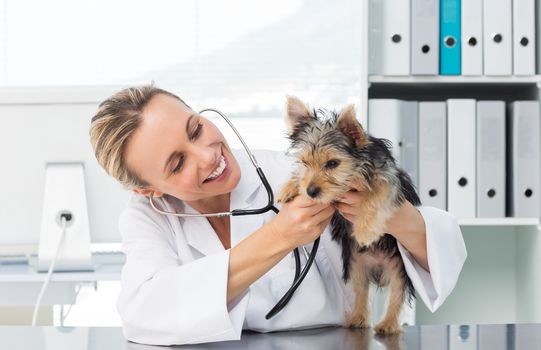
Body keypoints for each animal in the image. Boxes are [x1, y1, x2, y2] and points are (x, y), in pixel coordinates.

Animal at [276, 95, 420, 334]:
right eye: (304, 162)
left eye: (333, 163)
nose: (311, 191)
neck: (358, 168)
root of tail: (378, 269)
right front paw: (288, 187)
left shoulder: (388, 180)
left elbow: (375, 196)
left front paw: (365, 230)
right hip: (356, 266)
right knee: (361, 291)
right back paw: (357, 319)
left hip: (399, 267)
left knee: (397, 294)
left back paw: (388, 324)